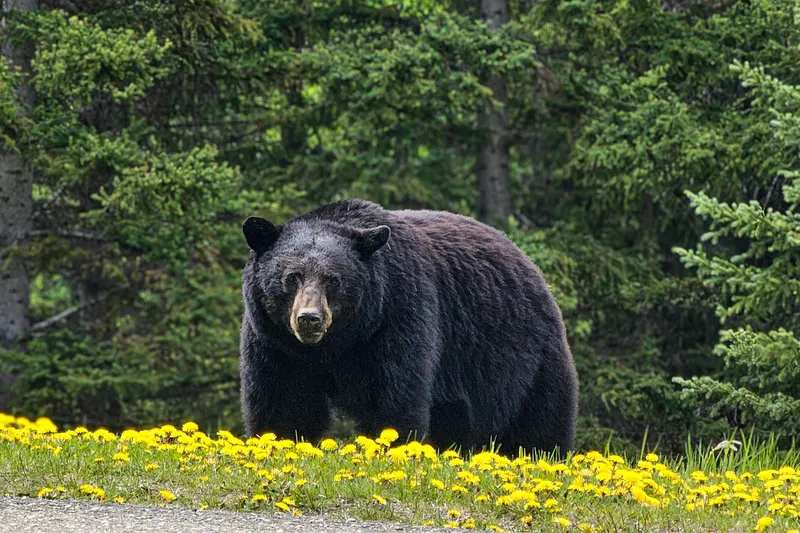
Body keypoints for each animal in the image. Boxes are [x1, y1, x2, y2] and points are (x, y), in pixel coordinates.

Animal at [239, 198, 578, 455]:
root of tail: (531, 266)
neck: (339, 343)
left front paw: (388, 443)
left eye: (333, 280)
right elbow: (284, 399)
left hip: (522, 356)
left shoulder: (396, 314)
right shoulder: (276, 342)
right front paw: (279, 440)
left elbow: (391, 393)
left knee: (538, 419)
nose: (309, 318)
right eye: (291, 277)